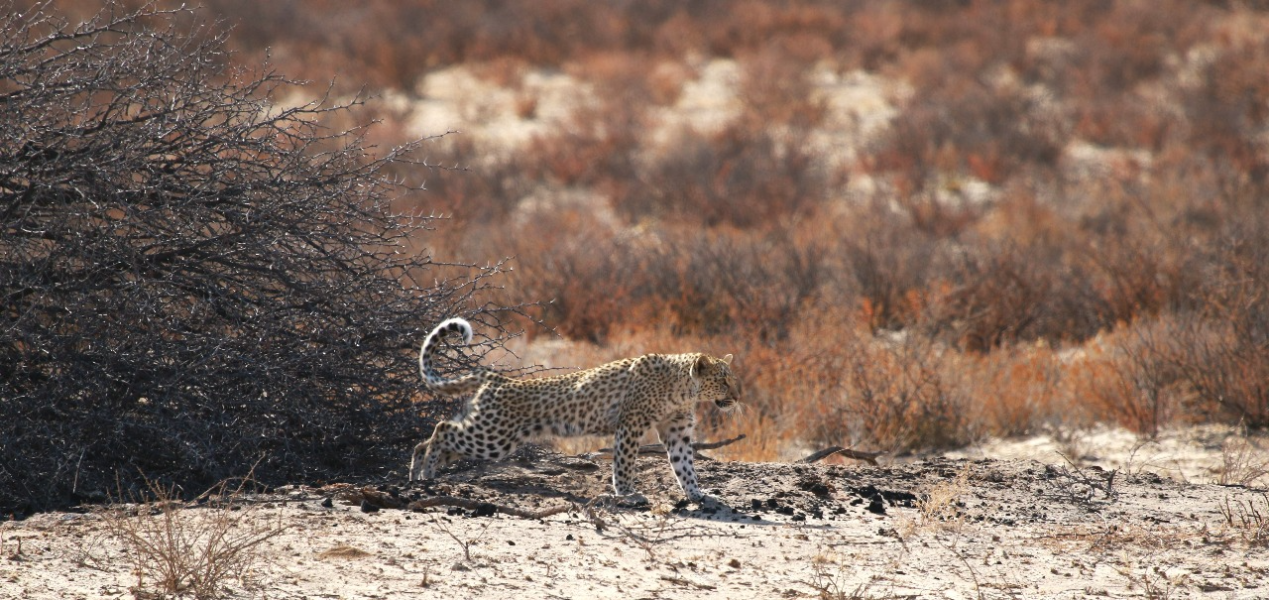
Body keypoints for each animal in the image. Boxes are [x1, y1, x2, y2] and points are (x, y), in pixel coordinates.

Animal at [408, 317, 741, 503]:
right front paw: (627, 494)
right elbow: (624, 463)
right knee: (441, 429)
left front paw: (697, 494)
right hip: (492, 437)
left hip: (486, 435)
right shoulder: (630, 425)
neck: (683, 390)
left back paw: (417, 473)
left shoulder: (676, 431)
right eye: (724, 379)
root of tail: (496, 377)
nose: (738, 397)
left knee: (432, 438)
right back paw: (426, 473)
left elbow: (685, 466)